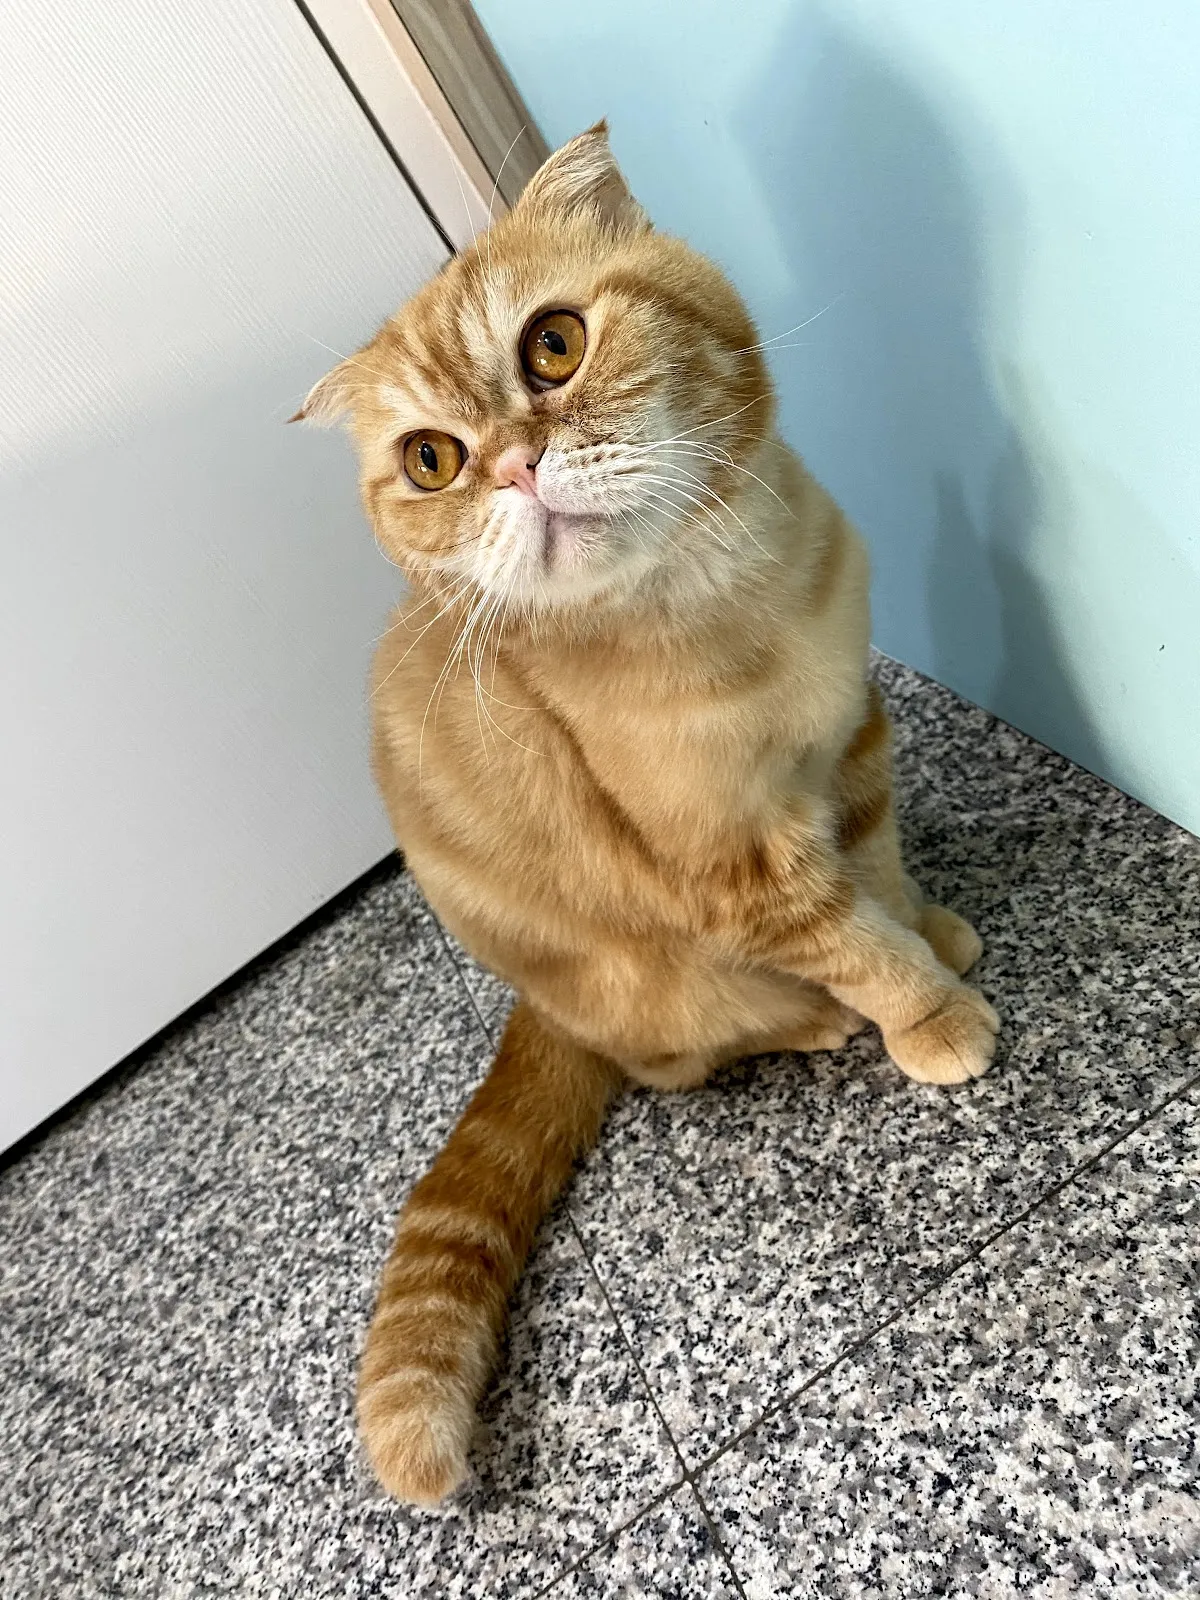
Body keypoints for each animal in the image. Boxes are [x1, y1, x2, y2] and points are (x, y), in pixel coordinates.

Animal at [297, 123, 998, 1507]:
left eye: (554, 345)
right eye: (431, 459)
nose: (514, 465)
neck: (732, 605)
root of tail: (541, 1010)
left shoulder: (852, 743)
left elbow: (885, 878)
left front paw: (932, 934)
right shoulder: (742, 870)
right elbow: (856, 943)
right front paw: (928, 1014)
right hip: (659, 994)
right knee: (687, 1057)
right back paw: (811, 1024)